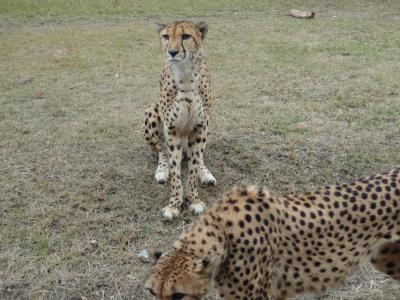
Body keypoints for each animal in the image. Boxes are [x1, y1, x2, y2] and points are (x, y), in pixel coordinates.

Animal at [143, 19, 216, 219]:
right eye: (166, 36)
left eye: (186, 36)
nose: (172, 52)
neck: (185, 75)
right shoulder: (172, 129)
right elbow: (175, 170)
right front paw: (174, 204)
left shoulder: (200, 126)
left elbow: (193, 169)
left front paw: (194, 200)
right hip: (152, 109)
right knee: (161, 151)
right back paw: (162, 170)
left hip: (207, 123)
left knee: (198, 158)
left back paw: (205, 173)